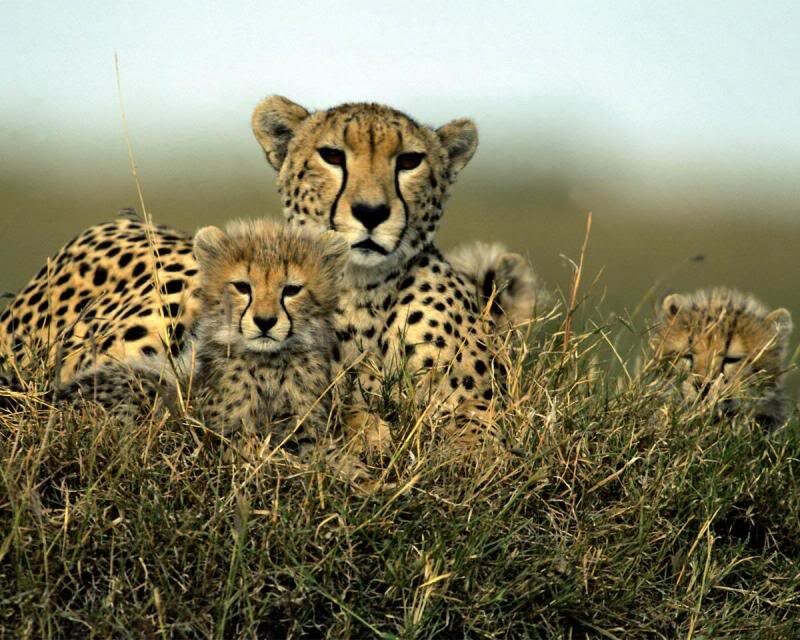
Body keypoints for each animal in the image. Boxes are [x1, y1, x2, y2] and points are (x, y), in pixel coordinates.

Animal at [60, 219, 349, 457]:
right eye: (242, 287)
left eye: (291, 290)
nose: (265, 321)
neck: (269, 363)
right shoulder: (225, 434)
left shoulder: (306, 429)